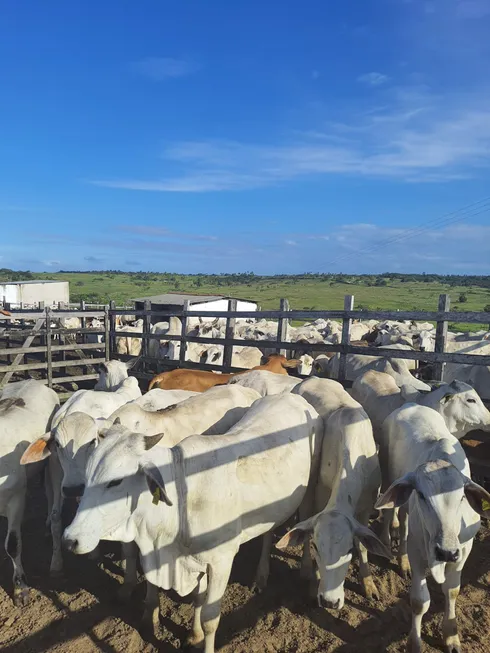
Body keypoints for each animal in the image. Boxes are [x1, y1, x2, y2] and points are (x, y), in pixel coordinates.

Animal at [64, 392, 322, 652]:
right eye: (88, 475)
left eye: (115, 482)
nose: (70, 538)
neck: (182, 495)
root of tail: (292, 396)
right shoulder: (187, 559)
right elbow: (194, 597)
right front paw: (192, 633)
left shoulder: (221, 561)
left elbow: (210, 618)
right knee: (268, 533)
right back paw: (261, 577)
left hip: (310, 489)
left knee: (306, 524)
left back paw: (306, 573)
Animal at [280, 376, 390, 608]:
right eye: (316, 546)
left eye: (348, 551)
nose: (329, 601)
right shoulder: (321, 495)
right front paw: (315, 580)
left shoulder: (366, 506)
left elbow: (363, 545)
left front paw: (368, 584)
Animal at [376, 402, 490, 652]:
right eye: (421, 495)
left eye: (461, 497)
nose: (446, 552)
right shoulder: (418, 551)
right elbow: (420, 601)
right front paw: (415, 643)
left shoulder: (464, 550)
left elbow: (452, 590)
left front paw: (451, 636)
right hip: (389, 477)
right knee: (391, 514)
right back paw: (390, 543)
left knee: (403, 518)